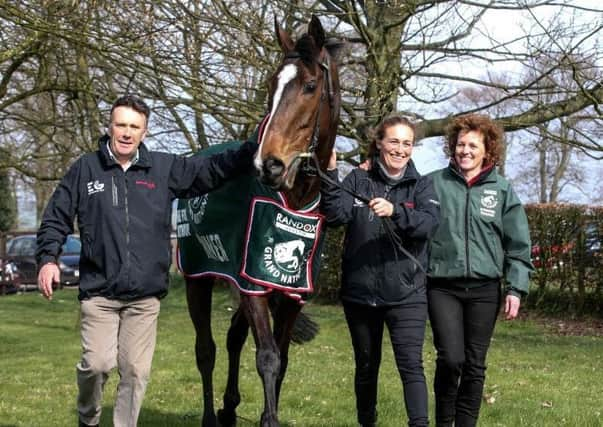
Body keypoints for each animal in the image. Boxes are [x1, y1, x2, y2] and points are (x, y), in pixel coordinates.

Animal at [177, 15, 342, 427]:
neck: (294, 198)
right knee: (206, 349)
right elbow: (267, 357)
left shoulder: (291, 292)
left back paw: (229, 406)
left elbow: (281, 359)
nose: (269, 164)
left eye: (310, 86)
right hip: (197, 279)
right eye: (271, 83)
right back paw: (211, 415)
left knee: (234, 337)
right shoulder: (253, 286)